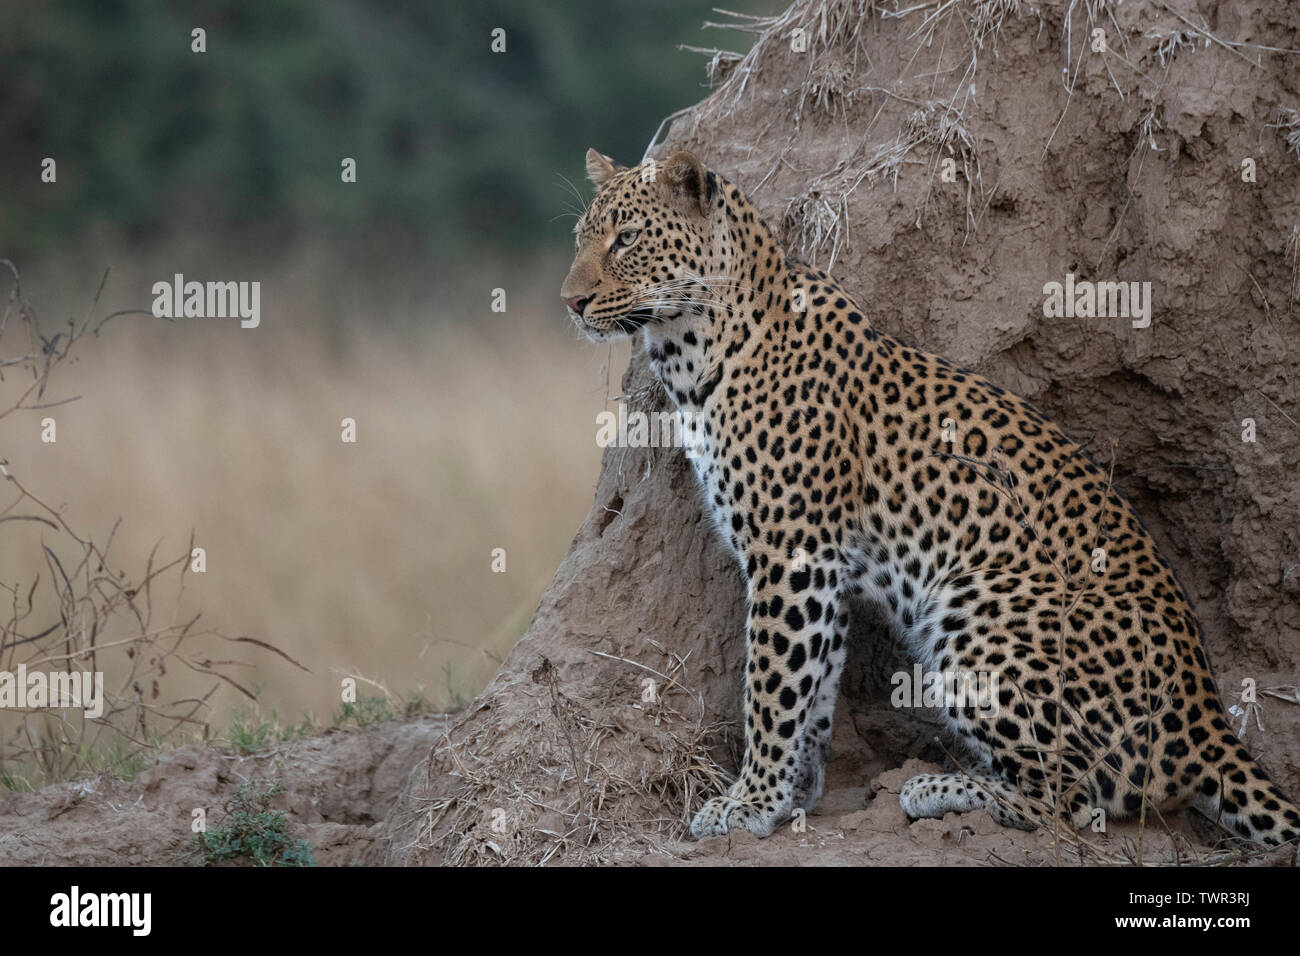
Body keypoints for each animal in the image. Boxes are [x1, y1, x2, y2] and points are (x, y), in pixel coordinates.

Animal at [559, 145, 1300, 848]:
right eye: (580, 237)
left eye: (625, 238)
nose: (570, 302)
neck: (692, 348)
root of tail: (1207, 717)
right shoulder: (821, 567)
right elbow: (813, 684)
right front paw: (794, 795)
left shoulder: (792, 554)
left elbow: (772, 687)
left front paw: (750, 802)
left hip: (979, 615)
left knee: (1076, 797)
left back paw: (942, 790)